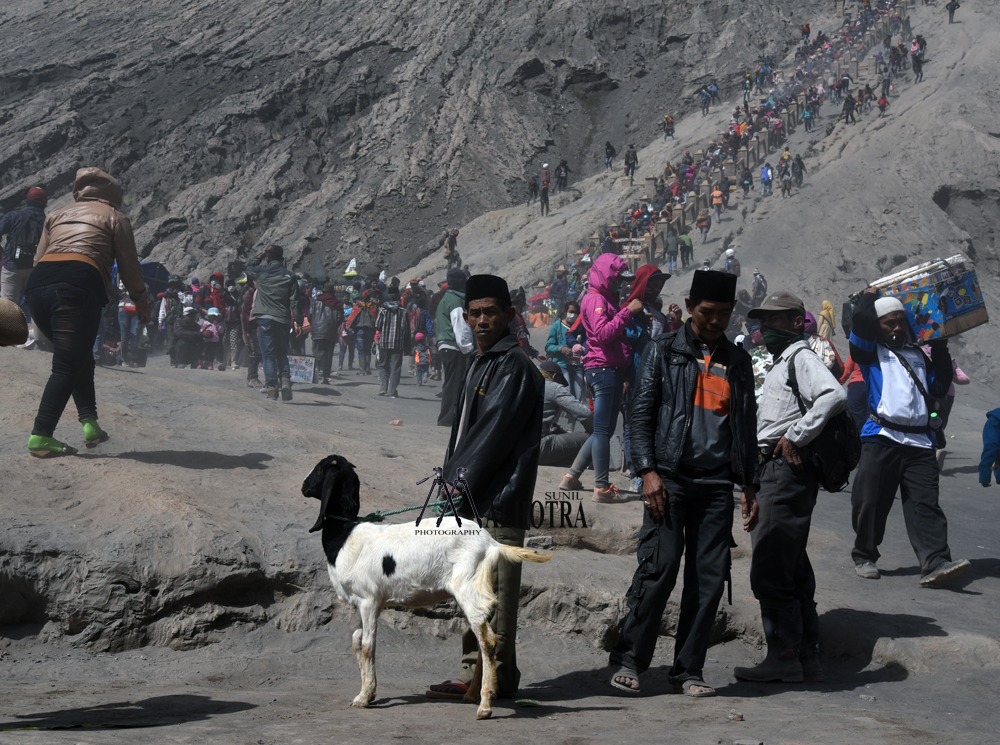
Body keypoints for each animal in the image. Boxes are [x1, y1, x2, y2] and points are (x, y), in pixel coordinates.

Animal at [304, 454, 556, 720]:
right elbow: (356, 638)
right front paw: (369, 692)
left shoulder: (368, 600)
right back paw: (471, 695)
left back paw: (485, 705)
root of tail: (491, 544)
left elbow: (366, 645)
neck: (346, 535)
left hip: (469, 587)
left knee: (488, 640)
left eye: (320, 470)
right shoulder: (367, 603)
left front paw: (363, 697)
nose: (303, 487)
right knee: (481, 639)